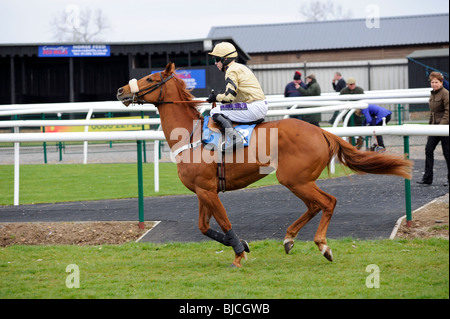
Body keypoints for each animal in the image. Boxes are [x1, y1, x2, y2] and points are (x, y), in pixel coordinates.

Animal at [118, 62, 414, 268]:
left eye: (151, 78)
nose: (121, 90)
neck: (191, 136)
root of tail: (321, 132)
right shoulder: (203, 190)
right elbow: (204, 227)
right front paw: (244, 245)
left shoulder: (208, 190)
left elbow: (224, 222)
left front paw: (239, 254)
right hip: (299, 180)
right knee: (315, 205)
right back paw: (289, 238)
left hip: (295, 179)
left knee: (327, 202)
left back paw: (322, 246)